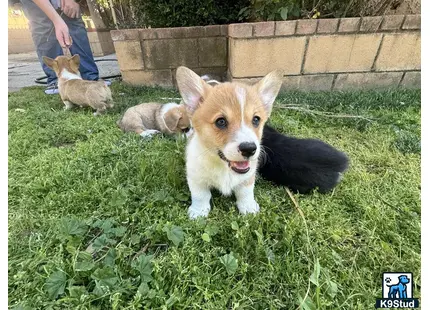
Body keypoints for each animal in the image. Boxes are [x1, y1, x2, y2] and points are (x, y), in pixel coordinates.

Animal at [175, 66, 282, 219]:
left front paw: (248, 207)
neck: (224, 167)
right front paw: (198, 212)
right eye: (221, 122)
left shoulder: (248, 177)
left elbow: (245, 193)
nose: (249, 149)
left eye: (256, 119)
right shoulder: (196, 178)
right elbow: (200, 195)